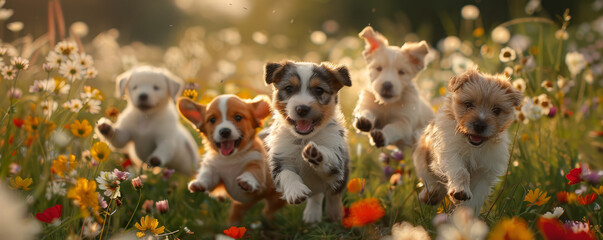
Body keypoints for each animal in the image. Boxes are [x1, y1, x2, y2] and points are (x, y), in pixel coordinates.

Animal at [178, 94, 286, 223]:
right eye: (212, 120)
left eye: (238, 117)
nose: (224, 131)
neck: (231, 158)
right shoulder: (213, 170)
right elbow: (207, 176)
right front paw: (199, 183)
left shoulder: (257, 164)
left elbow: (252, 173)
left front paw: (246, 181)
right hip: (240, 205)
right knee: (237, 213)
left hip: (276, 199)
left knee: (269, 210)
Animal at [266, 60, 354, 223]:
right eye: (289, 88)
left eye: (319, 90)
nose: (302, 109)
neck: (304, 138)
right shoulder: (280, 160)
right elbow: (287, 174)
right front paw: (296, 192)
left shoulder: (337, 158)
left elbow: (330, 158)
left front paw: (316, 154)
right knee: (317, 195)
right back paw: (312, 215)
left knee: (333, 194)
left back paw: (335, 213)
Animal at [416, 68, 524, 213]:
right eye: (469, 104)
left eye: (496, 110)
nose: (480, 125)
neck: (473, 146)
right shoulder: (449, 153)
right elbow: (461, 172)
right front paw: (461, 190)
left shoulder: (485, 173)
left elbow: (475, 199)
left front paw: (466, 213)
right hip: (421, 159)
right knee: (432, 181)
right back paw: (431, 195)